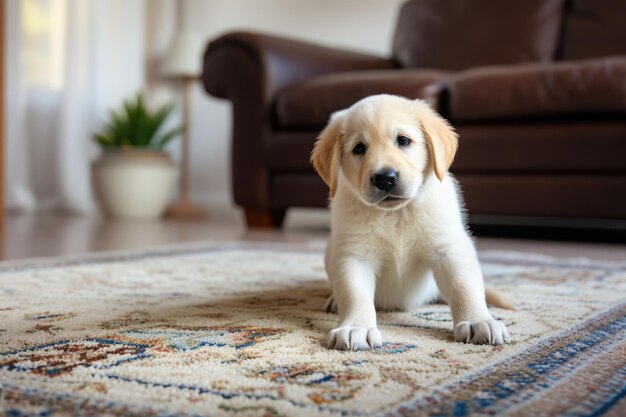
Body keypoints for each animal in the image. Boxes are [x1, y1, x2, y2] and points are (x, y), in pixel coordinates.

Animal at [310, 92, 510, 350]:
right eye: (359, 148)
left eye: (403, 141)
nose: (384, 178)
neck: (396, 213)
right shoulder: (354, 256)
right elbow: (354, 293)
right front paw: (356, 327)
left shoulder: (448, 248)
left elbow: (463, 285)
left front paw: (478, 321)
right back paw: (334, 300)